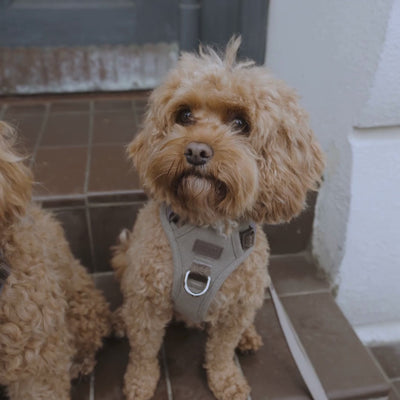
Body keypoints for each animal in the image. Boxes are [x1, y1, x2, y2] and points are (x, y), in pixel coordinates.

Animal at [112, 37, 324, 400]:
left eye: (240, 123)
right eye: (184, 114)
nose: (197, 151)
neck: (205, 225)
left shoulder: (235, 308)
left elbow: (222, 350)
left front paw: (227, 380)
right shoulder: (147, 299)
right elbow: (144, 348)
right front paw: (139, 381)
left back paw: (248, 337)